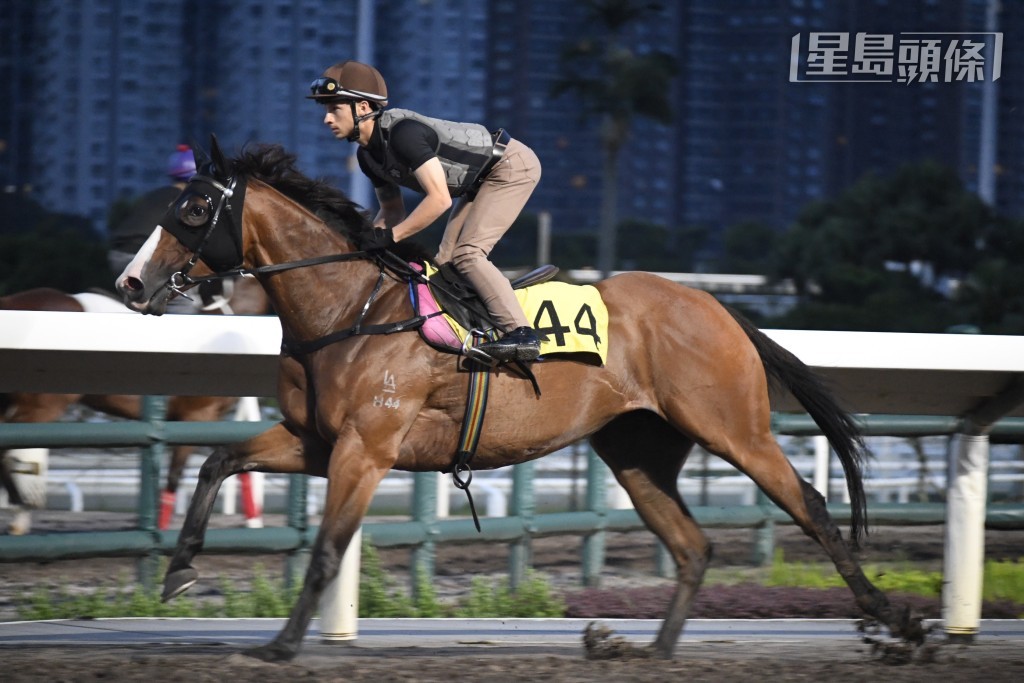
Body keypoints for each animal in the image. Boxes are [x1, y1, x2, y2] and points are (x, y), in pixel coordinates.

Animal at [114, 140, 921, 663]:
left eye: (193, 207)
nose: (129, 283)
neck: (350, 307)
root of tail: (718, 307)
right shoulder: (316, 439)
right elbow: (216, 462)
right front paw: (179, 571)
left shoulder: (367, 448)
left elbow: (327, 549)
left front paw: (281, 644)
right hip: (636, 450)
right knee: (693, 545)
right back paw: (647, 650)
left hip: (733, 427)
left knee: (809, 504)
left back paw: (897, 622)